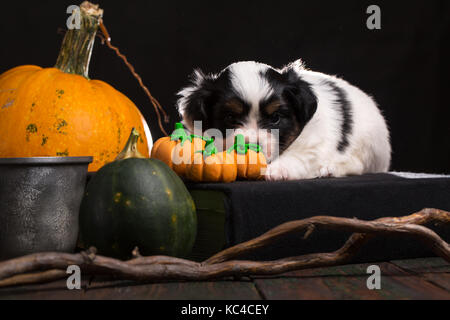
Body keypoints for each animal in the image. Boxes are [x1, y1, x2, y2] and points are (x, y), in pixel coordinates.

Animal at [178, 60, 392, 180]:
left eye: (275, 118)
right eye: (230, 118)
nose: (251, 146)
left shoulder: (314, 139)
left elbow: (300, 155)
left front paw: (278, 170)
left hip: (369, 146)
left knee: (358, 165)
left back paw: (330, 168)